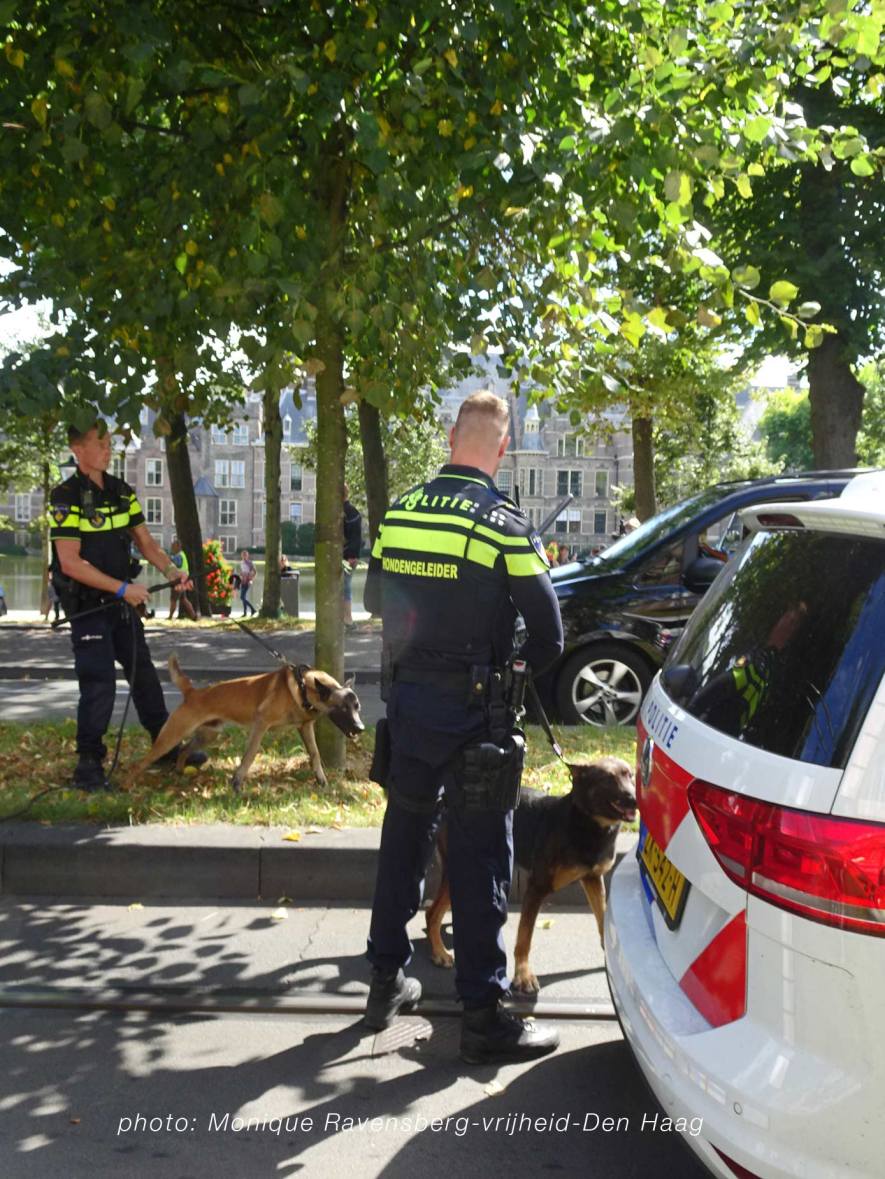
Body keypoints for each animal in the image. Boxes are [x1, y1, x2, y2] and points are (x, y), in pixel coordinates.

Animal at [126, 655, 364, 791]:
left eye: (357, 707)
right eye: (343, 708)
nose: (360, 728)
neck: (304, 687)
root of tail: (193, 693)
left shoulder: (305, 727)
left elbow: (314, 754)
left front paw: (321, 780)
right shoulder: (261, 724)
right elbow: (250, 754)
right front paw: (237, 782)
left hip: (208, 735)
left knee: (184, 750)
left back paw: (179, 773)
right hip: (172, 735)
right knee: (140, 763)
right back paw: (127, 786)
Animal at [425, 756, 636, 994]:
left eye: (630, 775)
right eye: (608, 779)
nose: (636, 800)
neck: (586, 821)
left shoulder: (592, 879)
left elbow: (602, 917)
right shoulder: (537, 887)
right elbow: (524, 937)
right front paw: (523, 975)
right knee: (432, 913)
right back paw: (439, 953)